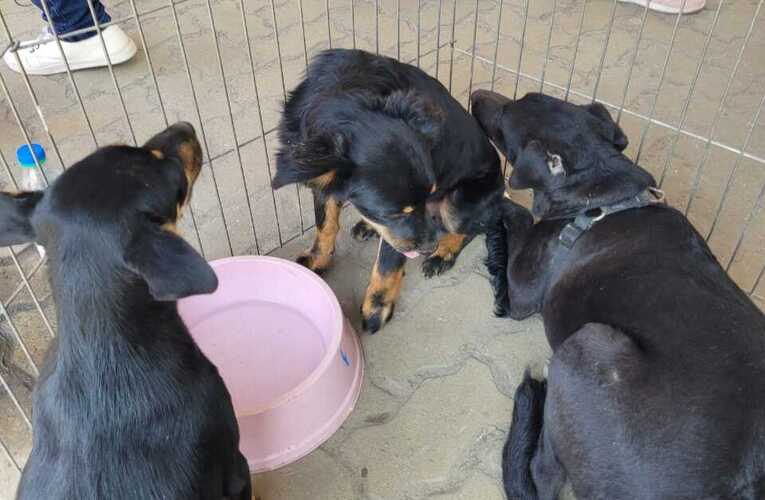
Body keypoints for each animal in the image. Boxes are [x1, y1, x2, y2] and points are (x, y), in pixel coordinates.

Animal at [272, 48, 504, 334]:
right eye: (394, 214)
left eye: (430, 195)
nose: (428, 246)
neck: (347, 94)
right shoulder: (322, 181)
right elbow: (325, 224)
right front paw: (319, 259)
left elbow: (387, 264)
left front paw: (377, 308)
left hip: (458, 201)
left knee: (473, 227)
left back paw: (443, 253)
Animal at [472, 90, 764, 500]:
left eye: (504, 117)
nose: (475, 93)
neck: (603, 195)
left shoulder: (524, 289)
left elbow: (518, 215)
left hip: (588, 345)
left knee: (543, 475)